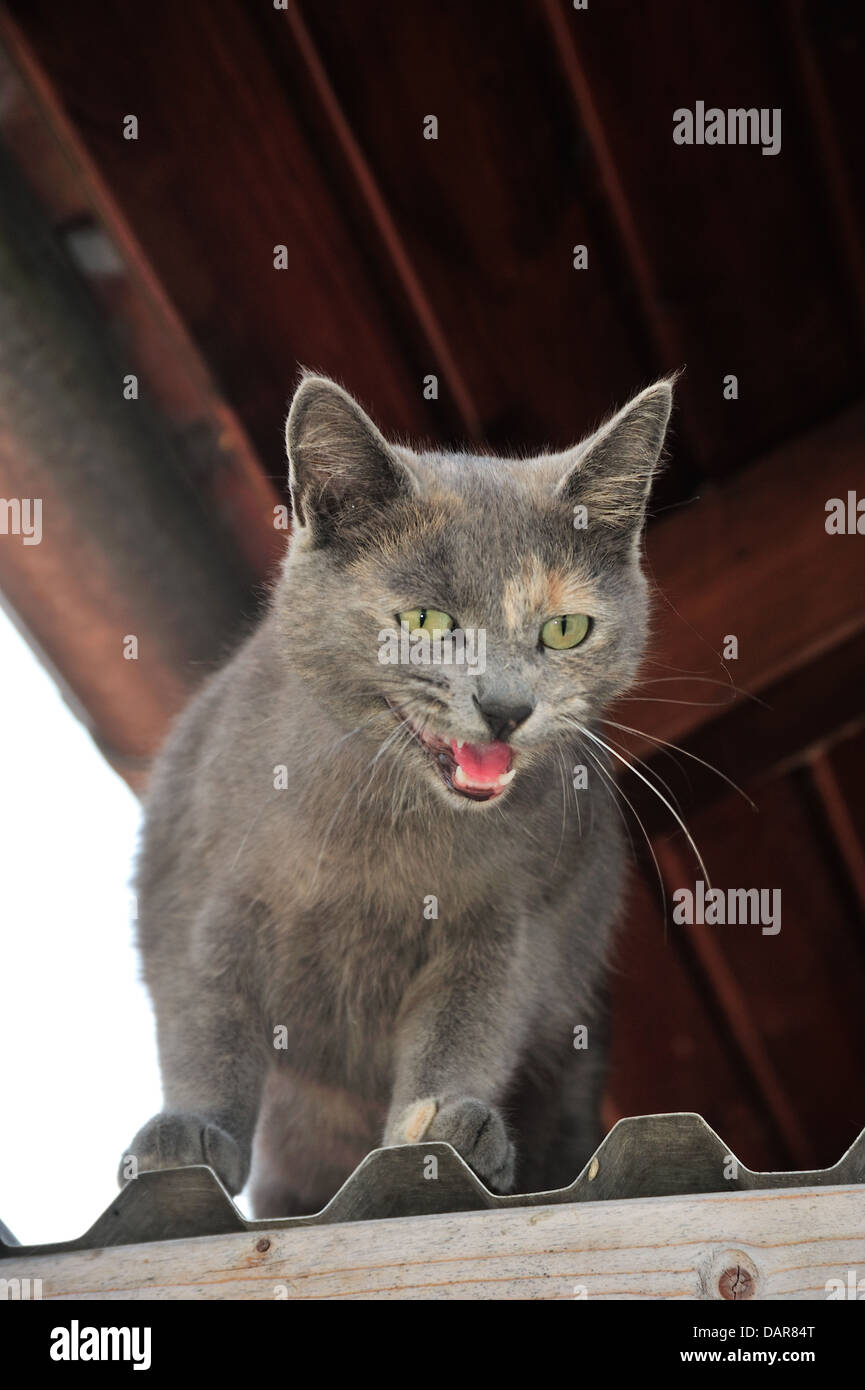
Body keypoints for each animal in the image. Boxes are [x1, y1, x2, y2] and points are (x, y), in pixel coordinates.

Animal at [123, 375, 678, 1212]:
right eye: (424, 620)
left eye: (565, 630)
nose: (506, 705)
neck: (381, 828)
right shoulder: (195, 892)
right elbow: (207, 1020)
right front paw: (187, 1134)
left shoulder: (513, 919)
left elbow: (468, 1021)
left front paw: (443, 1120)